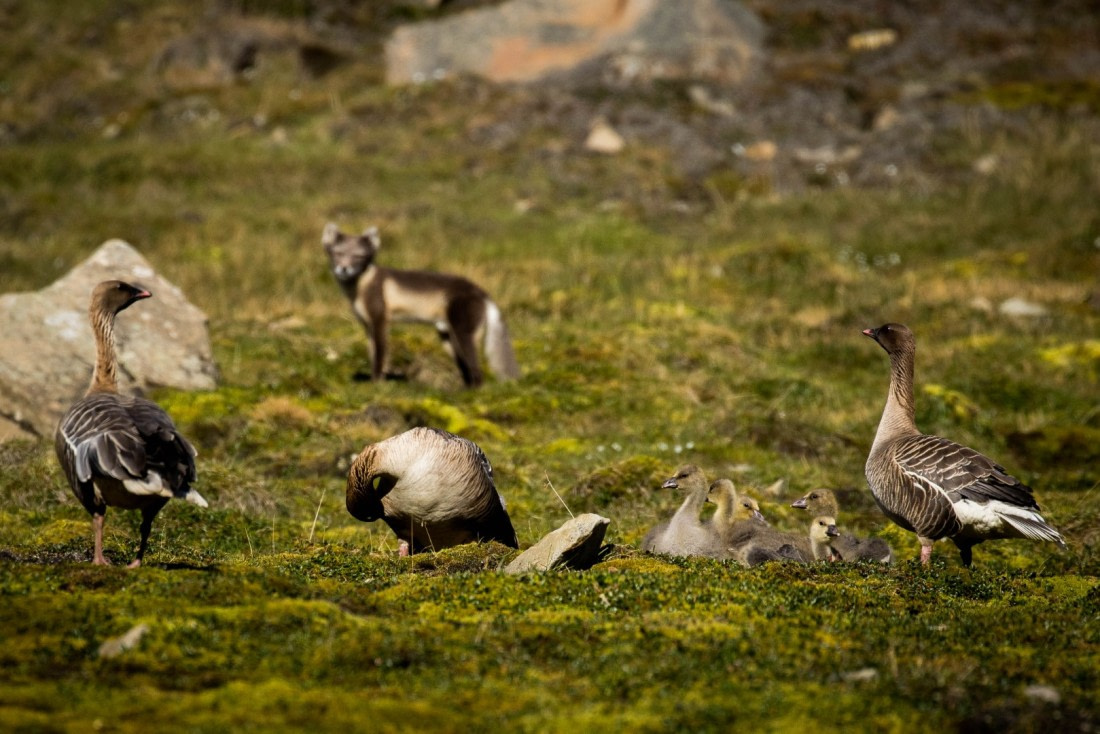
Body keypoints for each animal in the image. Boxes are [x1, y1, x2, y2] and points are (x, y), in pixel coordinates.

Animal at [321, 222, 520, 387]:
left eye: (358, 256)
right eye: (338, 254)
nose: (344, 269)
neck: (362, 286)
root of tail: (481, 292)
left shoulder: (380, 321)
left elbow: (380, 356)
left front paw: (376, 384)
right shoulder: (367, 325)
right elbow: (372, 354)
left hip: (463, 334)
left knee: (477, 373)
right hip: (447, 338)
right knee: (466, 370)